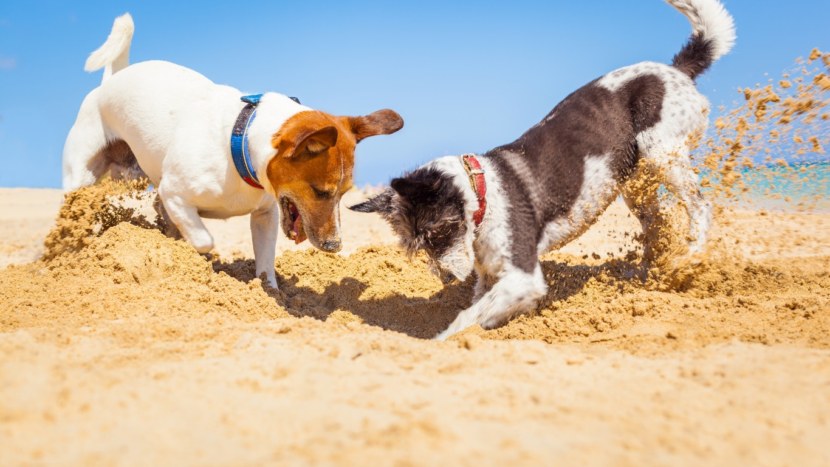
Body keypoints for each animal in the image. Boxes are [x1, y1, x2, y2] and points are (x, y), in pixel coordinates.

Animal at [63, 12, 404, 288]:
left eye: (345, 193)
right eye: (320, 191)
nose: (335, 246)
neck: (240, 146)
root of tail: (111, 81)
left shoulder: (266, 214)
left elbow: (265, 263)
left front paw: (270, 293)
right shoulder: (174, 193)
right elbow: (203, 239)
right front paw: (196, 260)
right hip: (82, 178)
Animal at [350, 0, 736, 338]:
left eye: (435, 234)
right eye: (416, 246)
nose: (445, 279)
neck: (483, 192)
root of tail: (676, 69)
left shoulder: (524, 277)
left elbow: (466, 318)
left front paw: (440, 341)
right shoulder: (490, 276)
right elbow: (480, 306)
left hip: (662, 152)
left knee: (701, 206)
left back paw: (688, 259)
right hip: (635, 181)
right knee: (657, 224)